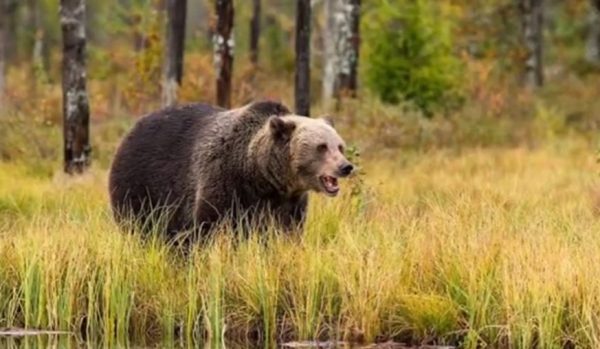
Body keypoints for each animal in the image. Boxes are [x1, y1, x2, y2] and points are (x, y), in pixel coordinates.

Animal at [109, 100, 352, 237]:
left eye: (339, 146)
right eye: (321, 147)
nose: (345, 166)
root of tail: (132, 129)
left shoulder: (288, 203)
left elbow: (287, 231)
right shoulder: (225, 181)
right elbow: (209, 225)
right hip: (142, 185)